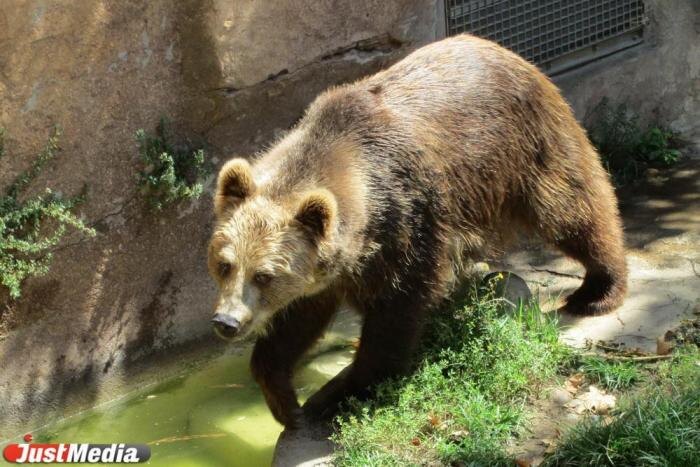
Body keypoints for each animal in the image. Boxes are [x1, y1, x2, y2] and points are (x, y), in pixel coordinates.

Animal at [207, 34, 627, 428]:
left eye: (265, 275)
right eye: (225, 264)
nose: (226, 322)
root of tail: (499, 47)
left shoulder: (408, 220)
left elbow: (398, 308)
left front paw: (340, 393)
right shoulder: (328, 266)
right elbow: (299, 318)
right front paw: (285, 400)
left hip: (525, 145)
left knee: (571, 206)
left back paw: (597, 291)